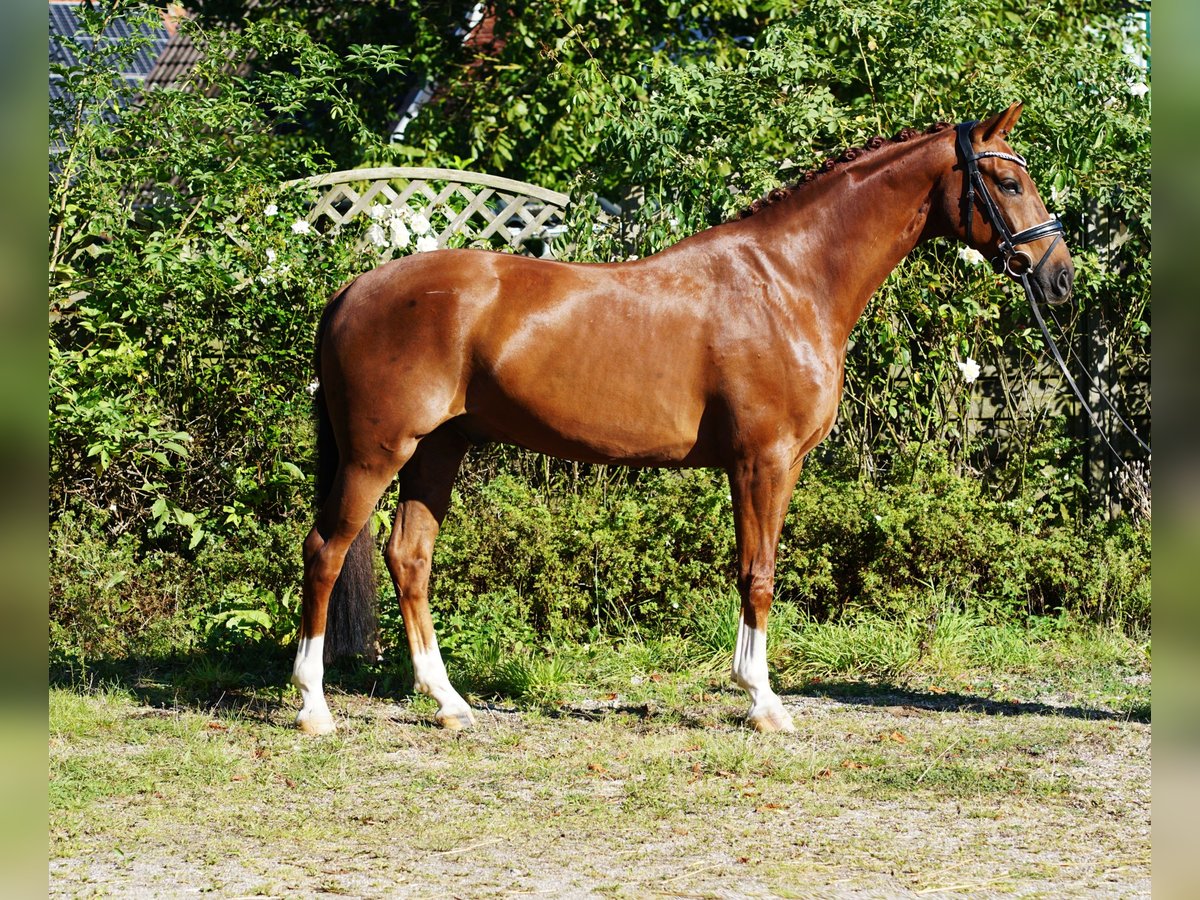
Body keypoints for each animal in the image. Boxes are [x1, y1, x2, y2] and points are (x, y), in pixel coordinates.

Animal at [292, 103, 1080, 734]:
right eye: (1010, 183)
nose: (1059, 277)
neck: (789, 281)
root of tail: (352, 289)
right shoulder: (764, 460)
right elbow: (758, 573)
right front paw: (763, 703)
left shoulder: (769, 464)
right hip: (377, 452)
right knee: (326, 550)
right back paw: (314, 708)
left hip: (437, 449)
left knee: (409, 556)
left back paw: (450, 704)